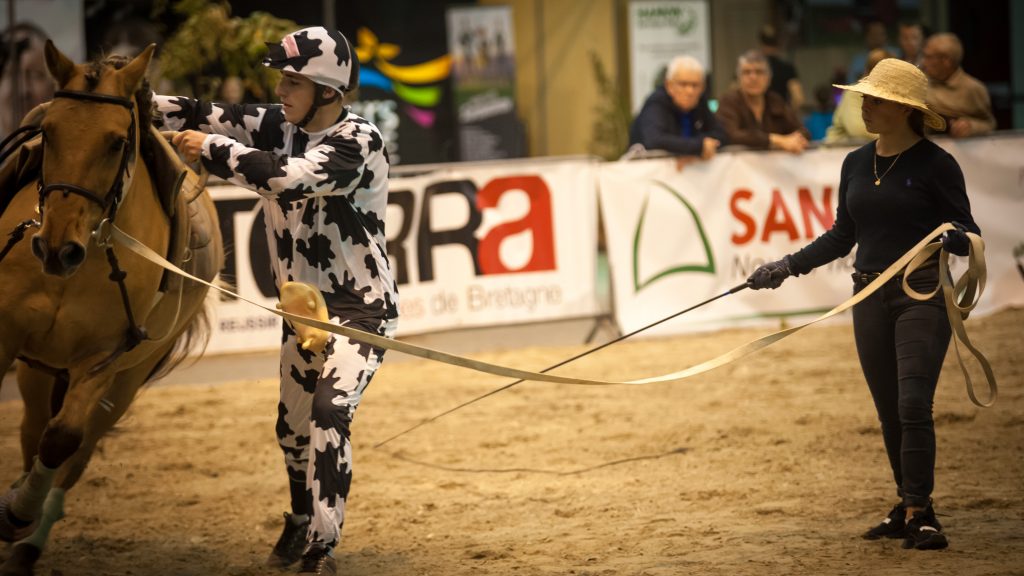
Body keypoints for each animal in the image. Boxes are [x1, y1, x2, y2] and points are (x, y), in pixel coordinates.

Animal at [0, 41, 223, 575]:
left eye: (117, 142)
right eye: (48, 131)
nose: (55, 249)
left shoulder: (103, 360)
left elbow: (63, 440)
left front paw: (19, 515)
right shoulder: (4, 335)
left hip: (125, 380)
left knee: (72, 449)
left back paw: (26, 535)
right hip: (38, 370)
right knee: (31, 430)